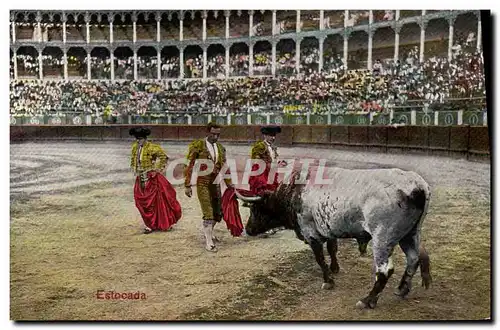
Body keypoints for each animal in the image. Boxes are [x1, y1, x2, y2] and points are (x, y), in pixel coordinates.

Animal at [236, 168, 432, 310]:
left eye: (255, 209)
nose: (248, 229)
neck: (295, 191)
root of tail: (417, 186)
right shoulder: (328, 231)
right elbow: (332, 249)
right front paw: (334, 269)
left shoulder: (311, 234)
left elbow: (320, 259)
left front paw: (328, 280)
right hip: (410, 234)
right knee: (413, 259)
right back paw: (402, 289)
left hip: (382, 239)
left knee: (385, 270)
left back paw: (368, 300)